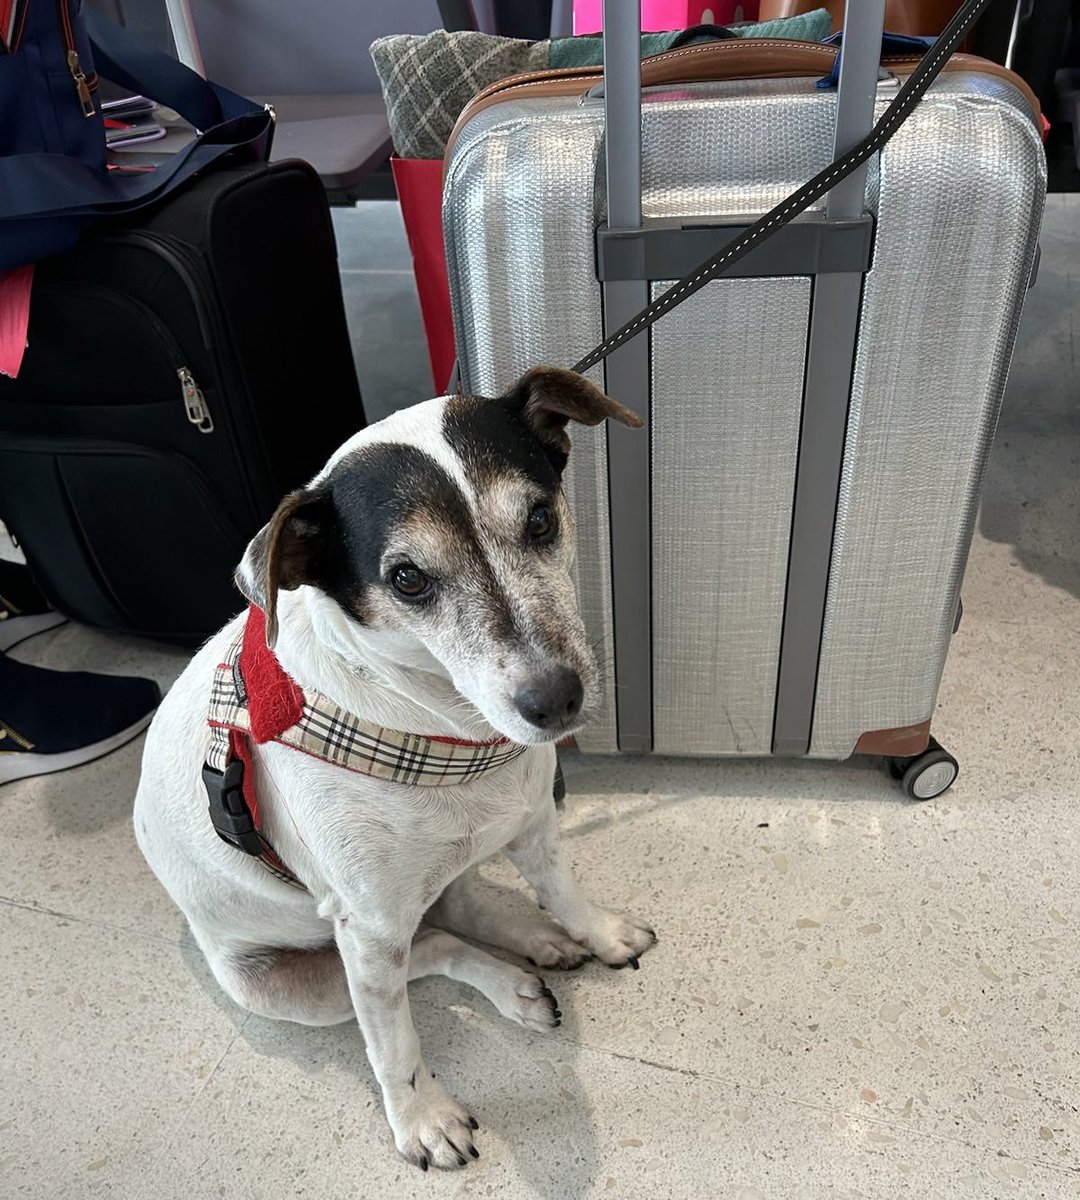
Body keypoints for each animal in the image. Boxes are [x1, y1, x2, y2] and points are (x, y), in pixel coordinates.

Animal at [135, 367, 657, 1171]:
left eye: (540, 520)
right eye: (407, 578)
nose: (554, 701)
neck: (445, 731)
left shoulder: (535, 825)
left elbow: (564, 892)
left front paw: (597, 932)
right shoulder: (371, 933)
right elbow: (394, 1047)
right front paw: (422, 1120)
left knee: (458, 908)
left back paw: (536, 941)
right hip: (290, 983)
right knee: (430, 949)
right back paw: (511, 981)